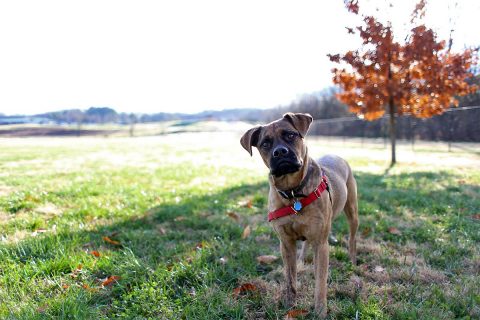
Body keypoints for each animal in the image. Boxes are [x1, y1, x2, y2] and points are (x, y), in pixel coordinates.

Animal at [240, 112, 356, 318]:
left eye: (290, 135)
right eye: (265, 143)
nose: (280, 152)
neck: (293, 192)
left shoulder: (321, 244)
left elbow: (320, 283)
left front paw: (320, 311)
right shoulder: (286, 243)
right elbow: (290, 278)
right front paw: (289, 304)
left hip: (352, 211)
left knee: (351, 238)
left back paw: (352, 260)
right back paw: (302, 259)